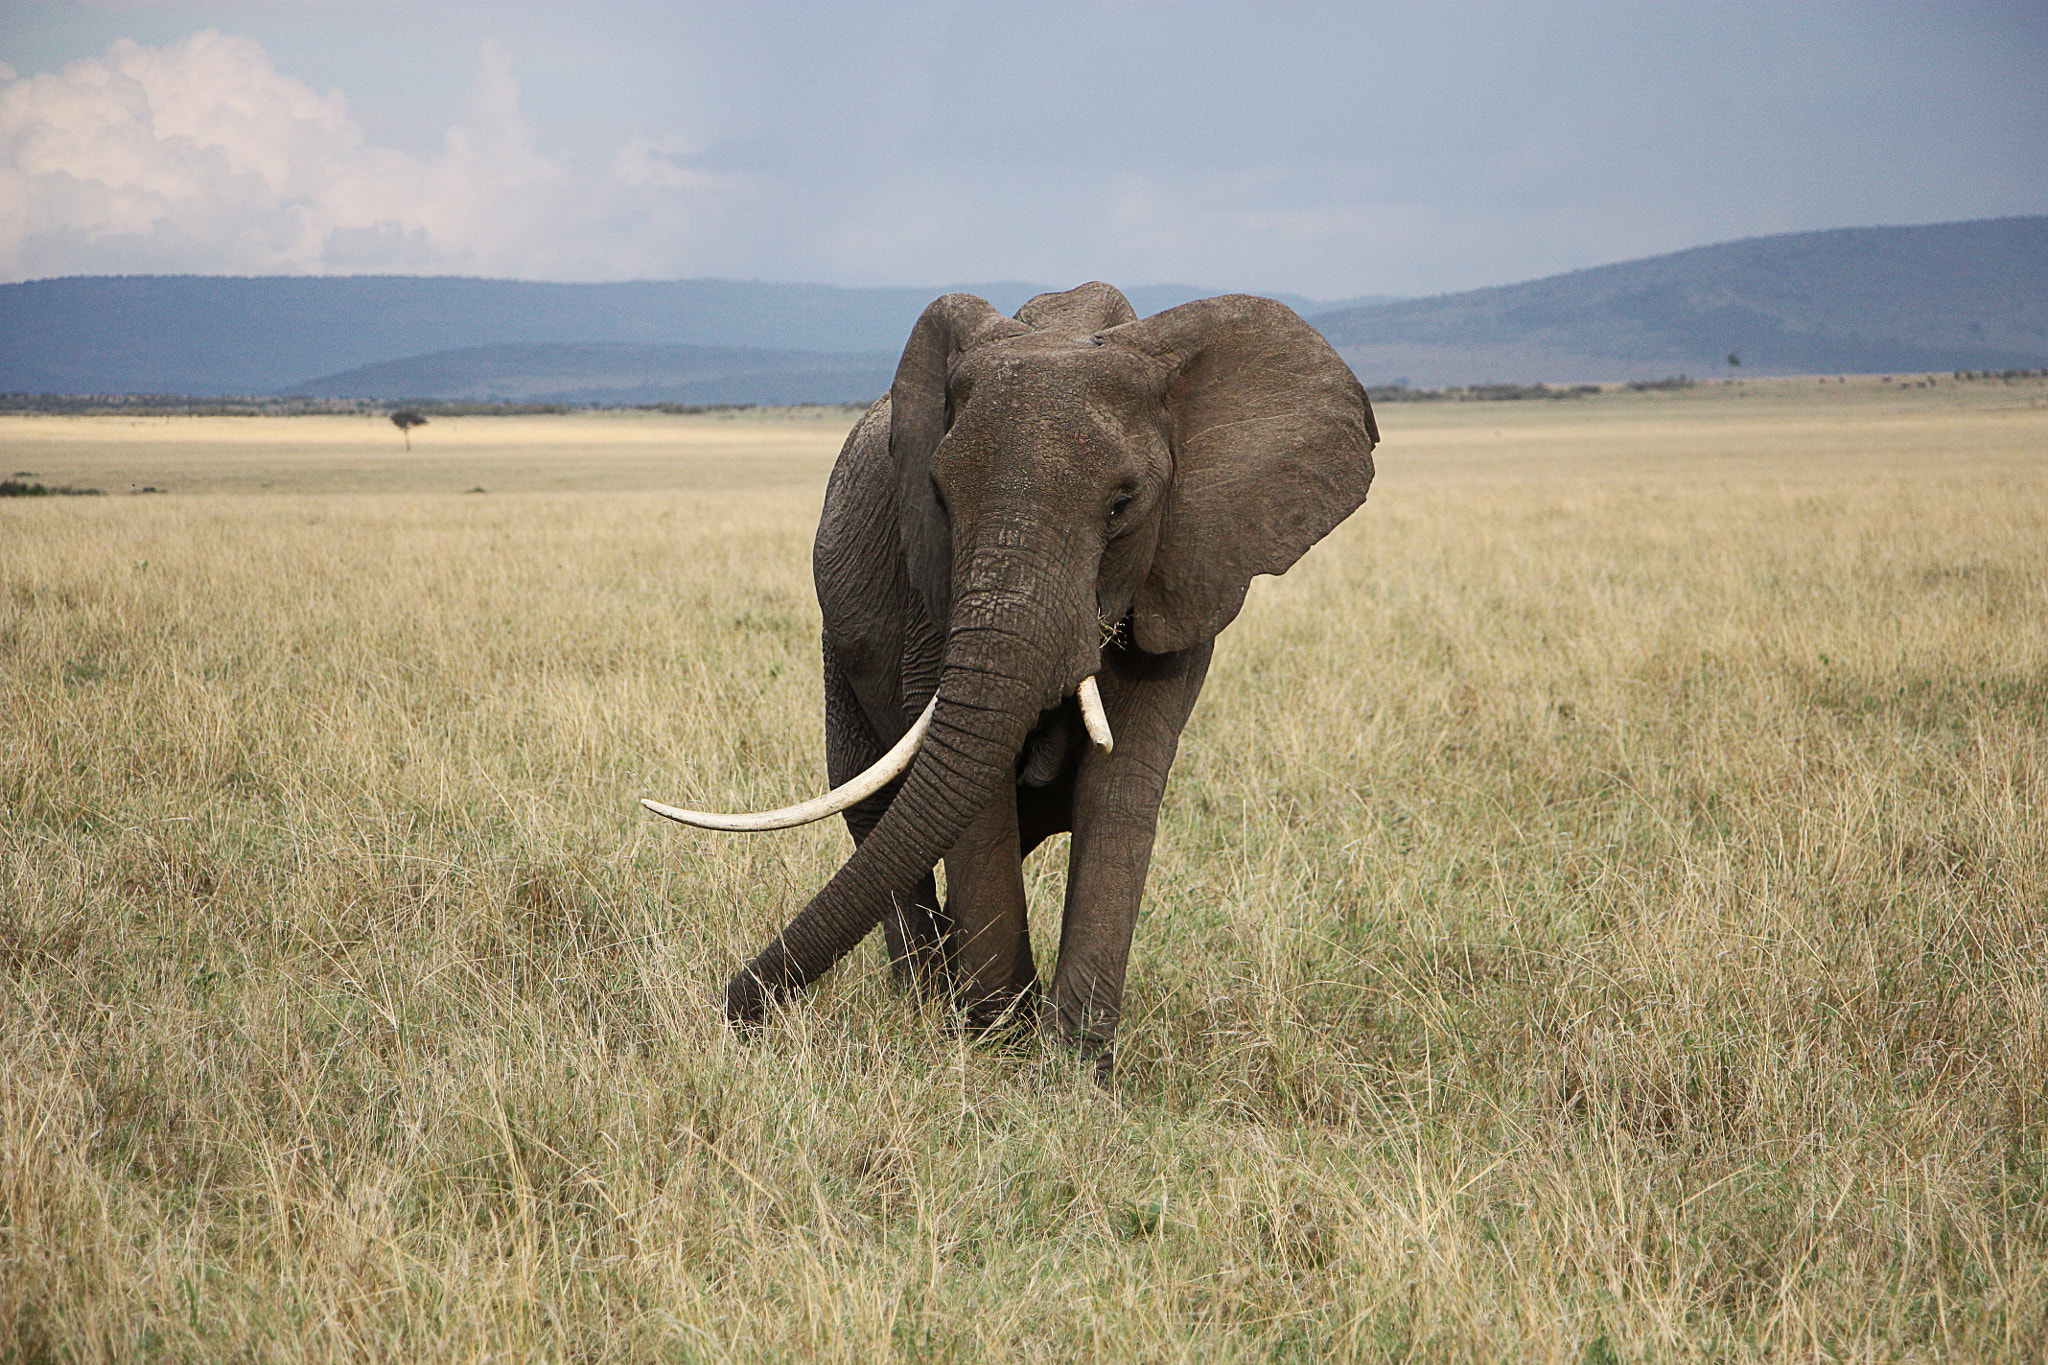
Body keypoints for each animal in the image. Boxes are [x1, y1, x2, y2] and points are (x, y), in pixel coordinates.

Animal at [645, 281, 1378, 1074]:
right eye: (938, 493)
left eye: (1122, 505)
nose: (725, 1008)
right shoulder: (930, 584)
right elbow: (969, 781)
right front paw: (999, 1039)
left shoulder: (1187, 569)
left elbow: (1123, 780)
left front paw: (1075, 1064)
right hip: (839, 649)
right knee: (875, 811)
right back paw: (928, 997)